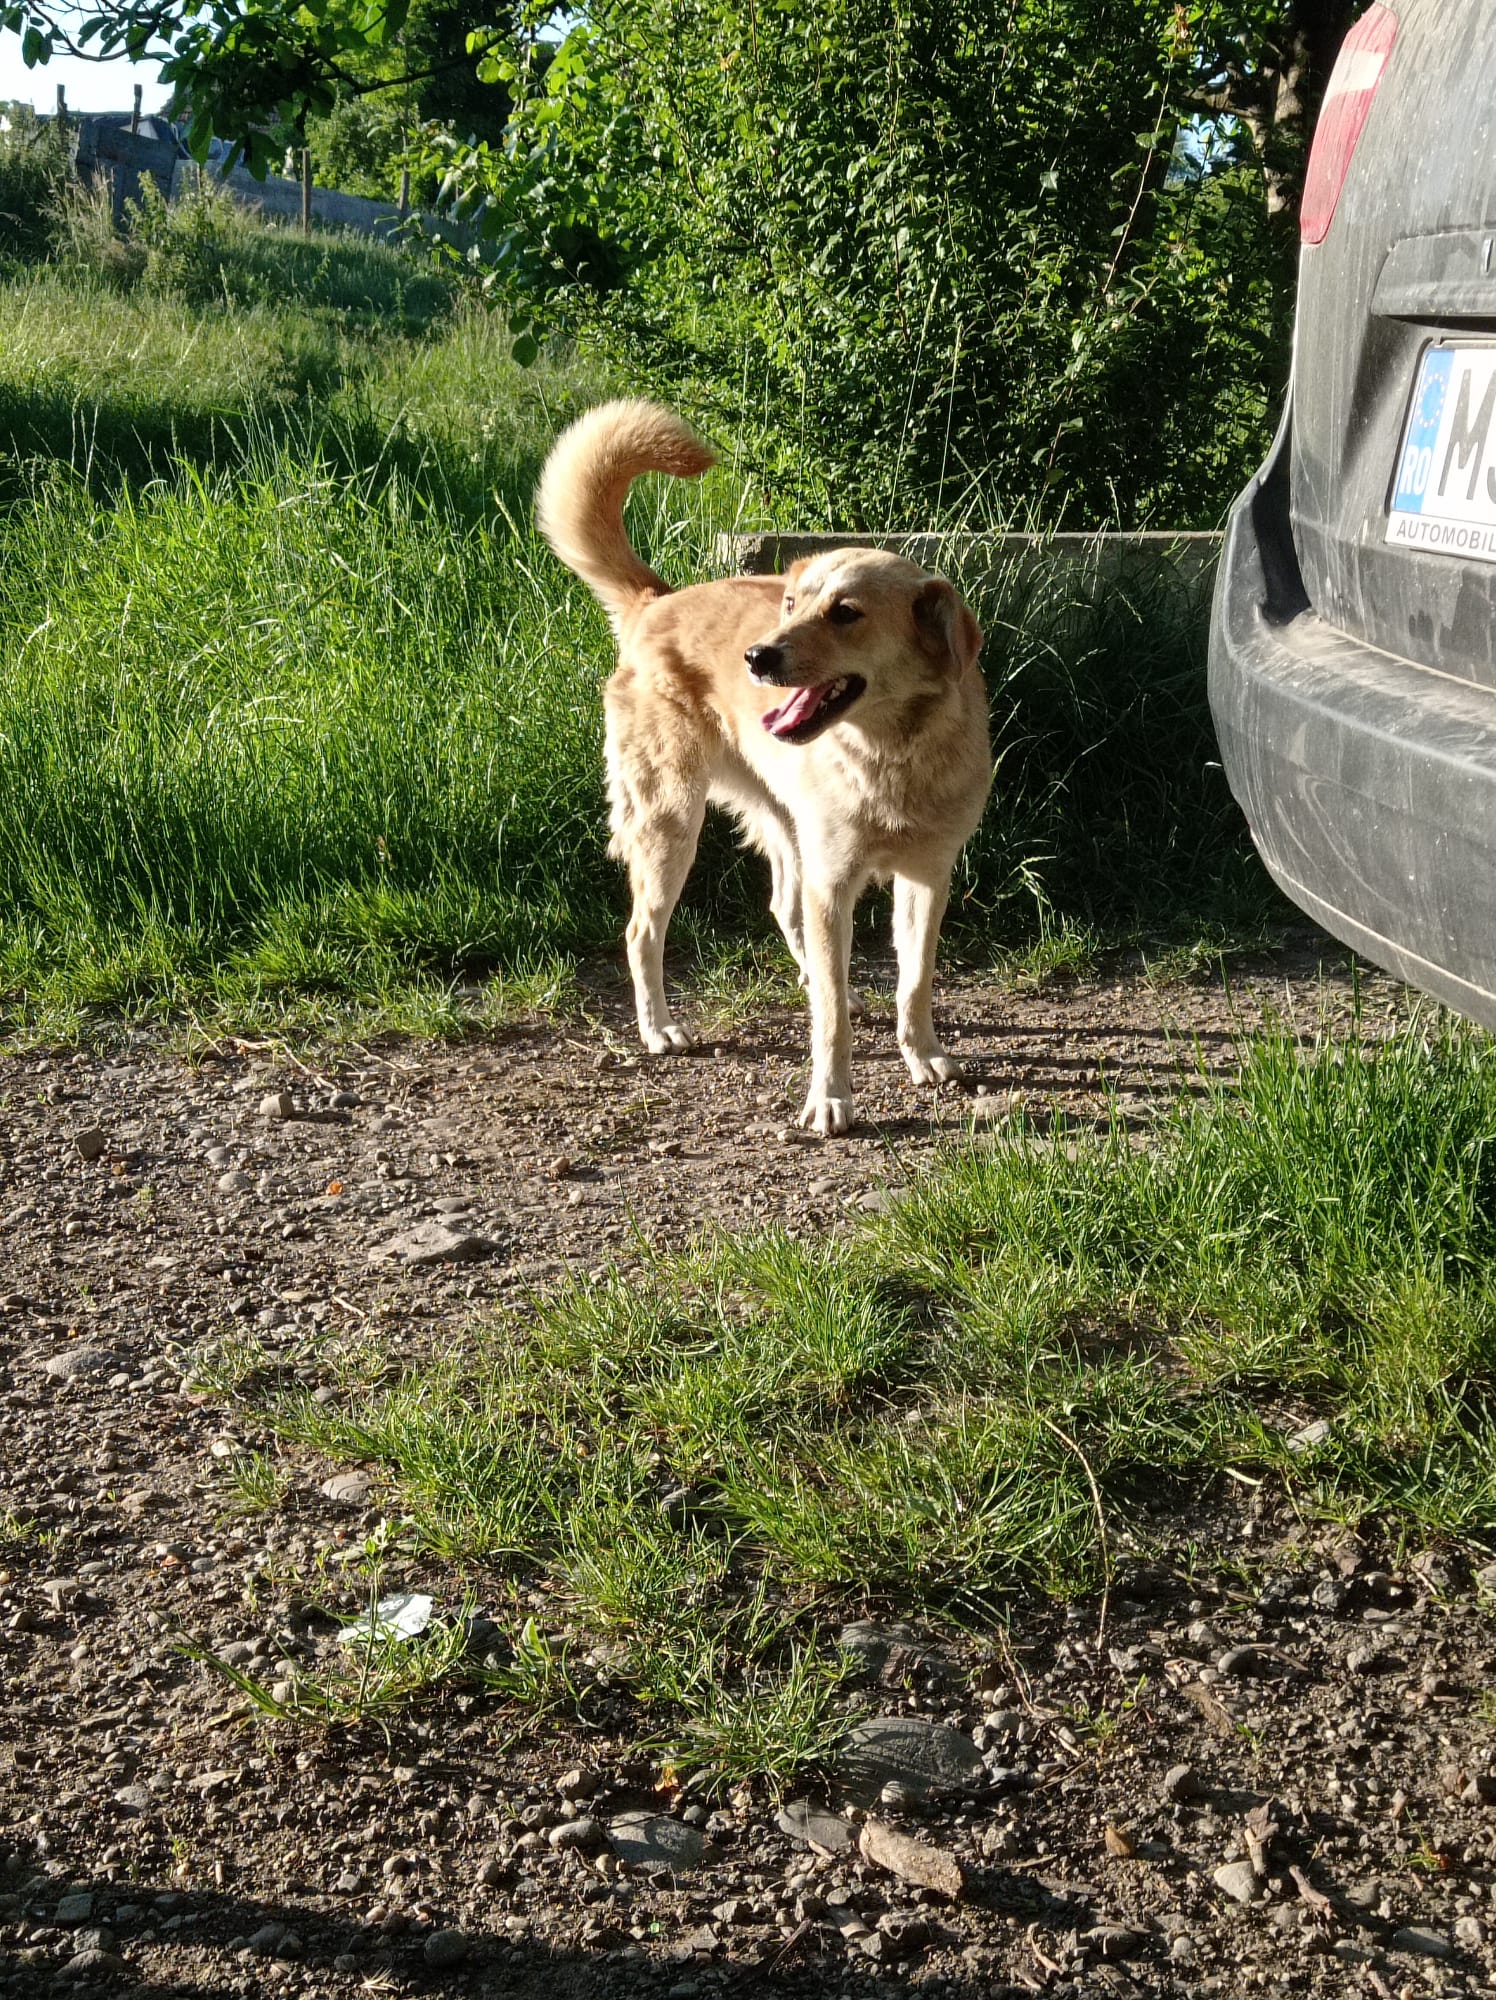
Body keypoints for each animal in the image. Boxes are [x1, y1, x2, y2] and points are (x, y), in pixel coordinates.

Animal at [536, 398, 991, 1135]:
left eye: (845, 613)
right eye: (791, 603)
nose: (756, 656)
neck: (889, 756)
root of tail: (656, 601)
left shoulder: (927, 877)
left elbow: (915, 980)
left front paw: (922, 1054)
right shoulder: (835, 883)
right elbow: (828, 1021)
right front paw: (830, 1097)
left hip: (783, 827)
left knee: (785, 907)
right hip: (670, 827)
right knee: (641, 931)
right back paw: (658, 1028)